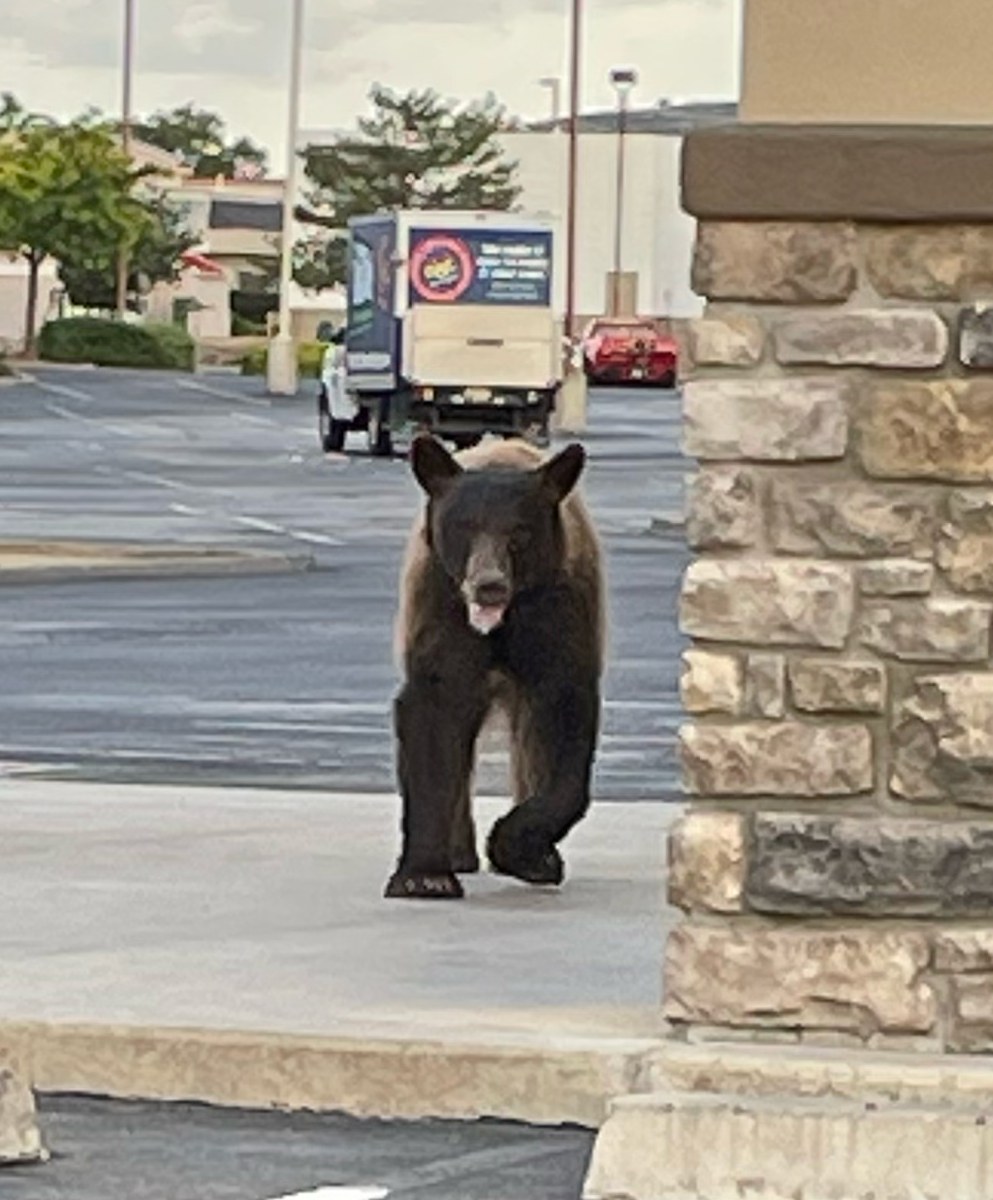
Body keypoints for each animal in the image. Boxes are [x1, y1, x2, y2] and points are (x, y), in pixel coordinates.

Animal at [384, 432, 605, 900]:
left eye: (519, 532)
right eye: (465, 526)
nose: (489, 585)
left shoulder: (559, 613)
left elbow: (564, 716)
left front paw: (522, 850)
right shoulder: (441, 606)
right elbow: (434, 713)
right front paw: (423, 875)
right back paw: (458, 852)